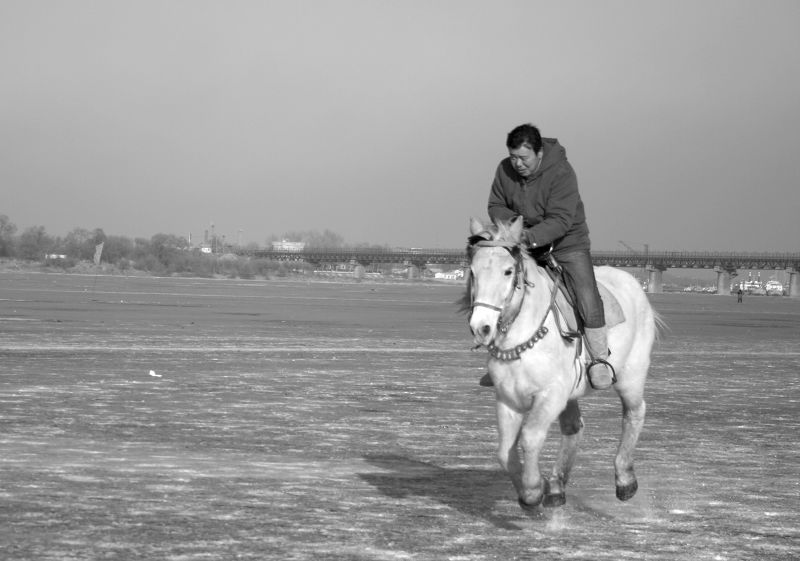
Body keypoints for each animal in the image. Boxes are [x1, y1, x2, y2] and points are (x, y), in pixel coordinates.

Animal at [466, 217, 660, 510]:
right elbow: (503, 451)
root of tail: (632, 281)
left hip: (631, 376)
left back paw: (625, 481)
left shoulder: (551, 394)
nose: (481, 328)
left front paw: (533, 490)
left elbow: (530, 436)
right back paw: (557, 487)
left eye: (508, 271)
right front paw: (534, 489)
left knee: (634, 413)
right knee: (573, 429)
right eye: (473, 272)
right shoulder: (508, 398)